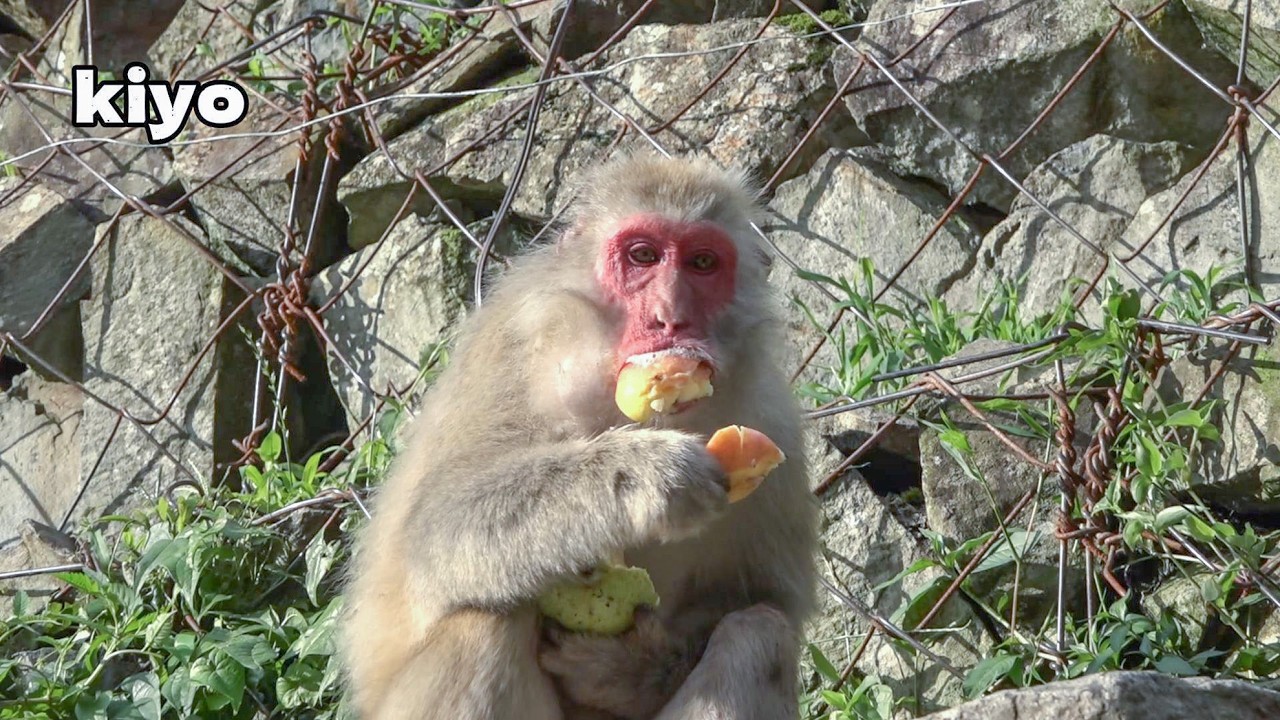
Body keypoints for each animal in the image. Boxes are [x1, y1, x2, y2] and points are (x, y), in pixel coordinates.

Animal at [341, 154, 819, 720]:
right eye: (642, 256)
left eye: (703, 263)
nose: (671, 317)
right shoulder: (510, 342)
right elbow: (433, 527)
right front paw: (645, 475)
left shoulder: (774, 418)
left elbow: (760, 597)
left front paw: (632, 670)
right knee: (485, 624)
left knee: (760, 633)